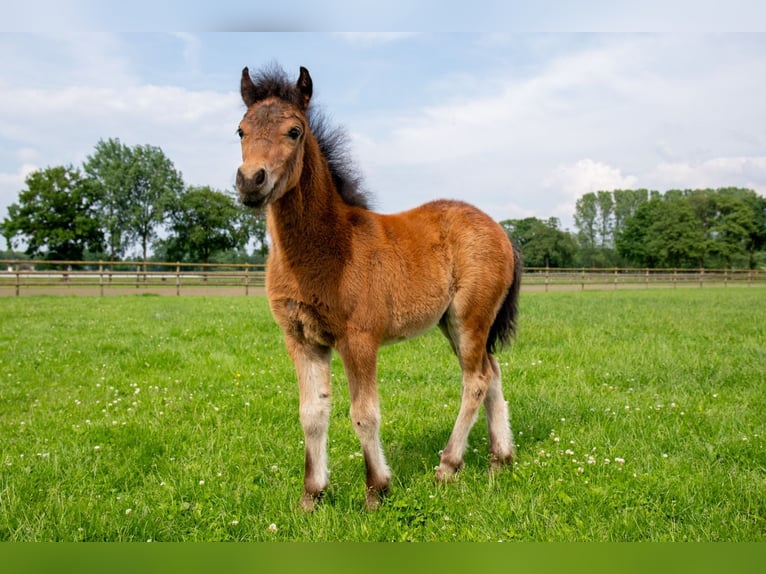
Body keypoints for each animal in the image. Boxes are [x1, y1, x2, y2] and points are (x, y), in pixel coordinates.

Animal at [236, 66, 520, 512]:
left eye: (294, 131)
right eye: (241, 130)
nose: (250, 180)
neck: (328, 247)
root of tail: (501, 231)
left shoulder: (359, 339)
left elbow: (363, 413)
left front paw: (376, 490)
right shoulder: (301, 339)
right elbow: (311, 414)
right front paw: (311, 496)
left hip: (470, 318)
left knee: (475, 380)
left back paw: (448, 466)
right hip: (455, 324)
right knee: (491, 372)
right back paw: (499, 459)